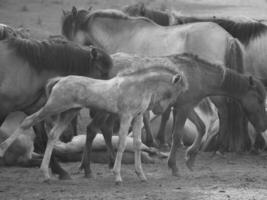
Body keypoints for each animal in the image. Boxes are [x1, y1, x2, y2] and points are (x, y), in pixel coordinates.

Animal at [0, 28, 113, 180]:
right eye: (103, 72)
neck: (27, 69)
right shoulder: (4, 108)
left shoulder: (33, 109)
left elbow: (42, 139)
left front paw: (60, 171)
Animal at [0, 54, 188, 183]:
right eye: (177, 89)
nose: (159, 109)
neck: (138, 86)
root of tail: (59, 80)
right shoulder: (126, 116)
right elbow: (121, 143)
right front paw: (117, 176)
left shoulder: (138, 117)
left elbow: (136, 144)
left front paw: (141, 175)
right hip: (54, 107)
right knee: (28, 121)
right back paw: (3, 149)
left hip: (68, 113)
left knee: (53, 135)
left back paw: (47, 174)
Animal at [60, 6, 249, 173]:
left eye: (67, 32)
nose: (69, 51)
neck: (125, 35)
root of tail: (228, 37)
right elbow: (157, 114)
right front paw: (161, 140)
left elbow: (146, 115)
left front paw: (154, 140)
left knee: (224, 111)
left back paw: (220, 148)